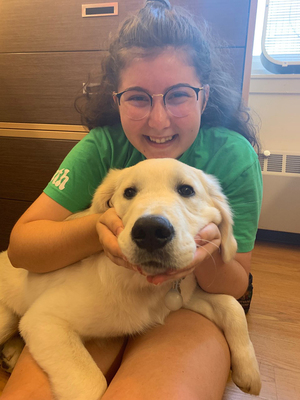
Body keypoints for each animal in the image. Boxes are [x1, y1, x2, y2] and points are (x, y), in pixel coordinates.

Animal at [0, 159, 260, 400]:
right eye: (129, 192)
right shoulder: (44, 320)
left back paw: (11, 353)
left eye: (187, 190)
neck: (143, 285)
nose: (151, 231)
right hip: (6, 319)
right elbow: (91, 384)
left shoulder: (181, 295)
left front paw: (248, 371)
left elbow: (232, 305)